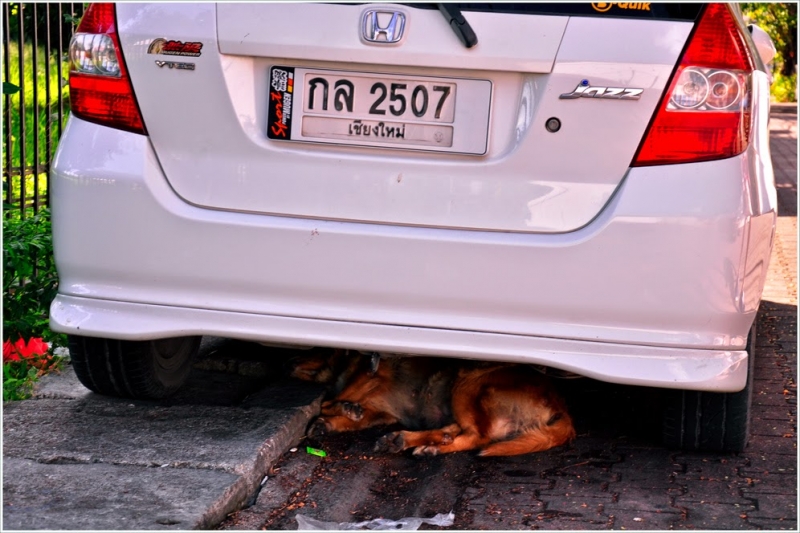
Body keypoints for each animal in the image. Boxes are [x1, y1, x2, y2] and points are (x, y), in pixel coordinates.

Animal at [288, 350, 576, 458]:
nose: (291, 361)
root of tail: (561, 405)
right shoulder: (380, 413)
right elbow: (347, 412)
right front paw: (332, 421)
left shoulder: (370, 377)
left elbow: (330, 401)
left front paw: (338, 409)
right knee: (455, 431)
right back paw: (412, 441)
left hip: (468, 383)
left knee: (476, 437)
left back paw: (420, 444)